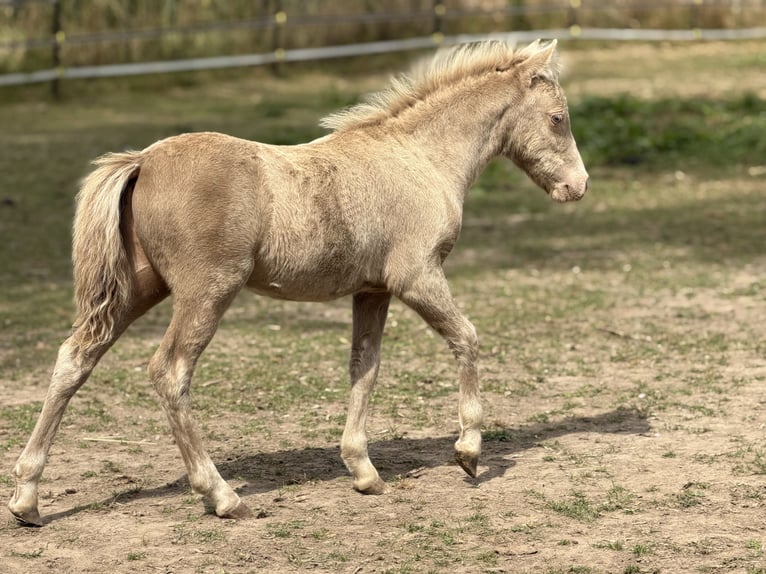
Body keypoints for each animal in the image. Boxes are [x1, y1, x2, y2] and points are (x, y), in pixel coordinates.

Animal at [9, 39, 588, 526]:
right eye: (558, 118)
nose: (578, 186)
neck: (419, 158)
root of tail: (143, 160)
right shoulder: (418, 276)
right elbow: (466, 338)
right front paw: (468, 452)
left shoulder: (372, 290)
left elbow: (365, 367)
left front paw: (364, 472)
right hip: (206, 292)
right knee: (169, 371)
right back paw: (222, 496)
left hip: (136, 289)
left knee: (75, 358)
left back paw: (26, 499)